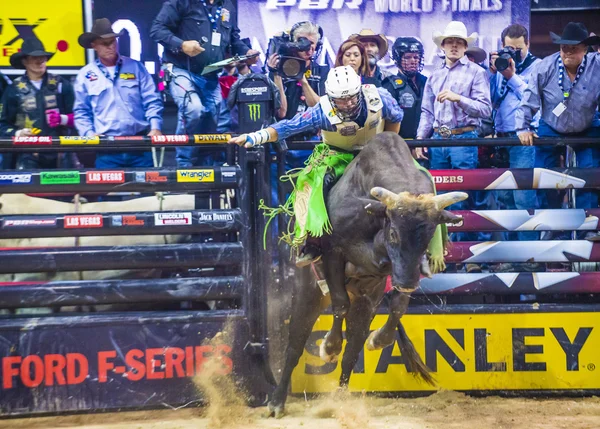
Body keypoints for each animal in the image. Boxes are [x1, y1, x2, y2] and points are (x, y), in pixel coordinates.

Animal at [268, 132, 468, 416]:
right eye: (394, 232)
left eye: (429, 236)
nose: (407, 283)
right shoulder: (333, 252)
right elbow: (340, 303)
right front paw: (329, 346)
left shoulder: (394, 273)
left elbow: (397, 307)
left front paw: (379, 339)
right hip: (309, 292)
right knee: (296, 345)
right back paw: (277, 402)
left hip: (364, 305)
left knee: (352, 352)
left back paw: (340, 401)